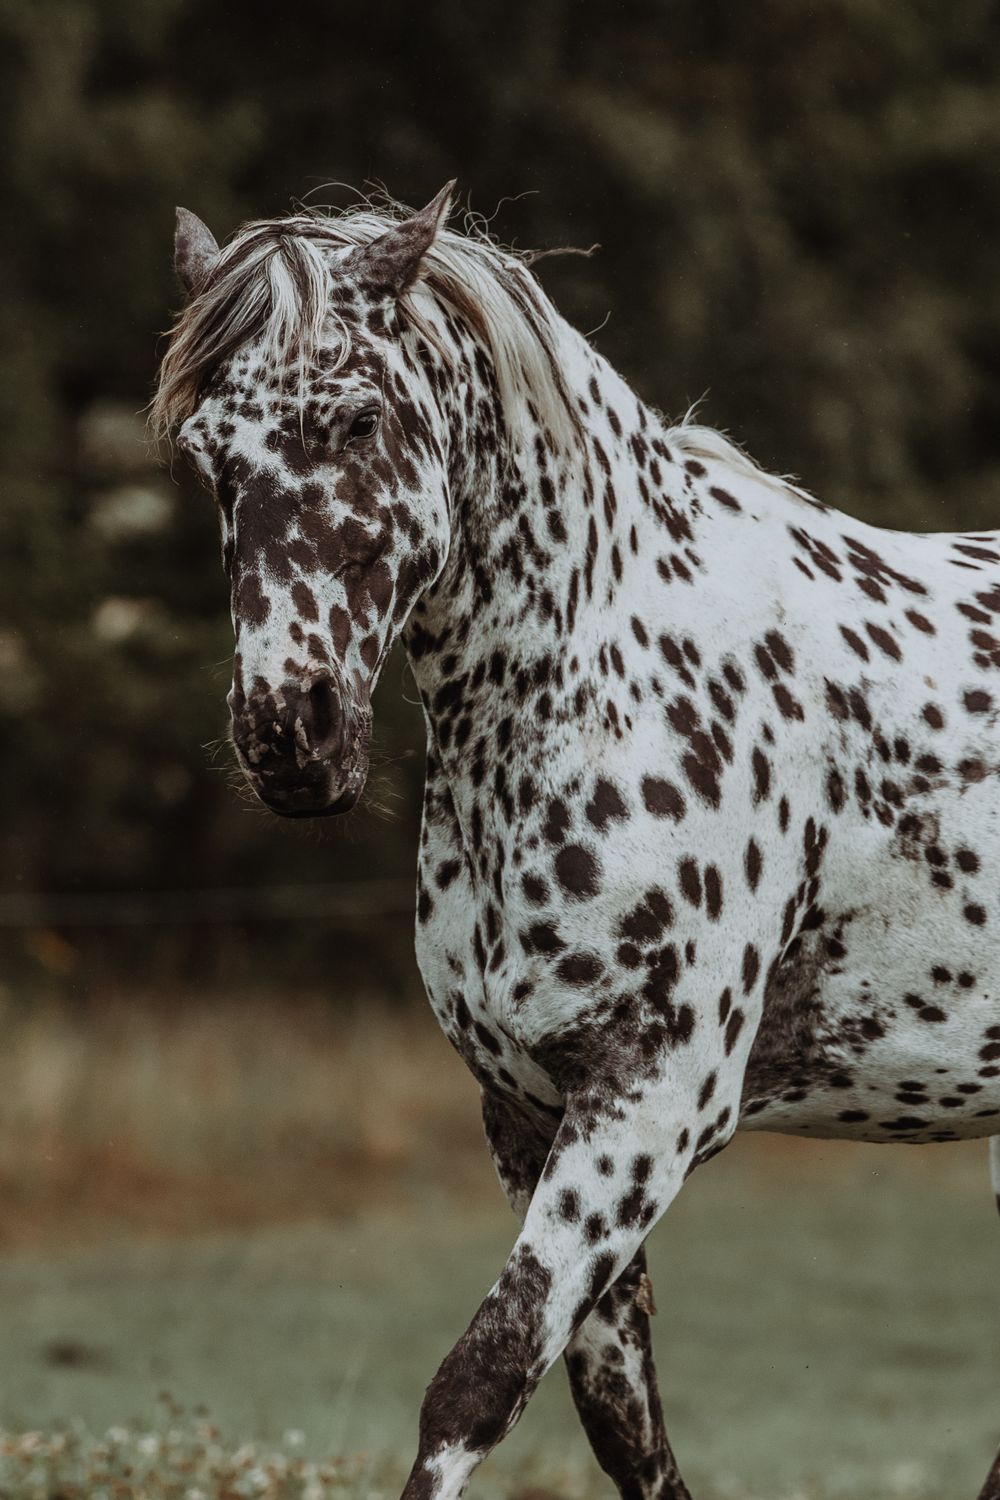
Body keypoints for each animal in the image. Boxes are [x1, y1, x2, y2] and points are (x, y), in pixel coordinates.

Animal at [153, 182, 1000, 1500]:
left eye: (356, 419)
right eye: (205, 458)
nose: (289, 734)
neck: (617, 681)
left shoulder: (648, 1105)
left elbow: (476, 1382)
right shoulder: (529, 1109)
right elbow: (619, 1428)